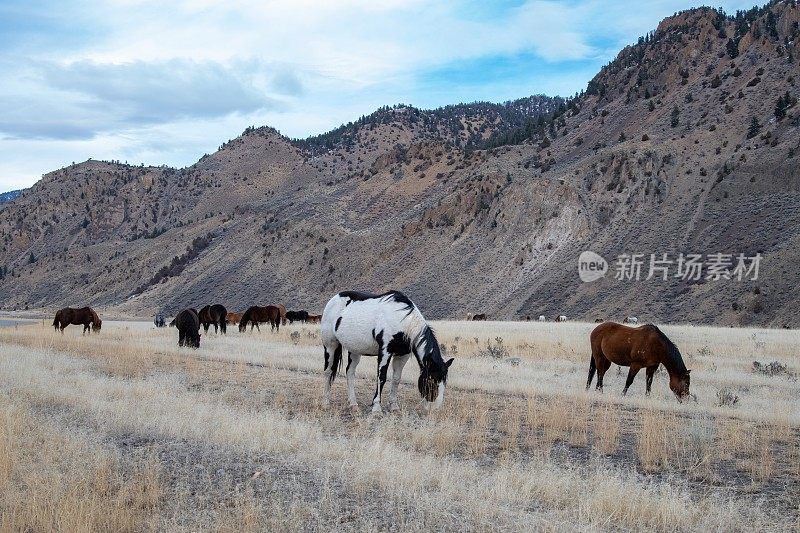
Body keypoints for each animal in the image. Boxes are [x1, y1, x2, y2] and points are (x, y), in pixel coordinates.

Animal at [322, 290, 454, 412]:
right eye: (431, 380)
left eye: (445, 382)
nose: (435, 408)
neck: (402, 321)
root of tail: (334, 299)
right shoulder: (385, 351)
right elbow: (382, 377)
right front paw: (376, 408)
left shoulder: (403, 355)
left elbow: (396, 378)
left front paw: (394, 406)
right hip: (330, 346)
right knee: (328, 371)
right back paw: (326, 402)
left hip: (354, 350)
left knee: (350, 372)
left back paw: (353, 404)